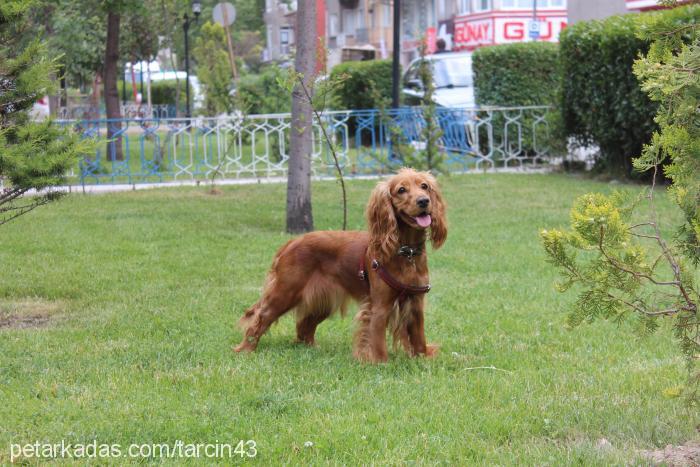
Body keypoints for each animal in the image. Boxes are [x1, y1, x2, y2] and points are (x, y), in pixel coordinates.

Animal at [232, 168, 446, 362]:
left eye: (424, 186)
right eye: (401, 189)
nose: (423, 201)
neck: (406, 252)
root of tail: (291, 242)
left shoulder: (416, 303)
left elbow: (419, 339)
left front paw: (422, 360)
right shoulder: (379, 307)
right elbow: (377, 343)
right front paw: (380, 364)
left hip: (322, 300)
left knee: (303, 326)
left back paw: (312, 349)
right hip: (285, 293)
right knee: (260, 318)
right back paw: (245, 350)